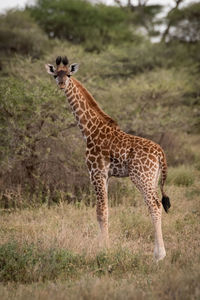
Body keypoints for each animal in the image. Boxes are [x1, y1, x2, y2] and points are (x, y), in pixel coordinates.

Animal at [45, 55, 170, 260]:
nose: (62, 84)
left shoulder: (96, 172)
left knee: (155, 205)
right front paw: (104, 246)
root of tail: (161, 153)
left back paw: (159, 255)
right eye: (56, 74)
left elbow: (100, 211)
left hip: (141, 177)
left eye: (69, 74)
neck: (89, 130)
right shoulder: (106, 176)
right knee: (157, 203)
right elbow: (106, 210)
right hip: (153, 177)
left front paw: (104, 249)